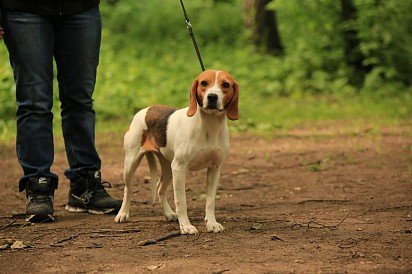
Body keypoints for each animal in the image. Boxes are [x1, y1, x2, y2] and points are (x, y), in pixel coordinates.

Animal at [114, 69, 240, 234]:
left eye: (225, 85)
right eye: (204, 83)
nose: (212, 97)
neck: (208, 124)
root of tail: (146, 109)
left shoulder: (215, 169)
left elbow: (210, 201)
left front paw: (212, 223)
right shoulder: (180, 169)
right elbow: (182, 202)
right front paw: (186, 226)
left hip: (168, 168)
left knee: (160, 189)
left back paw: (168, 213)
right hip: (131, 164)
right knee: (128, 190)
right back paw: (122, 214)